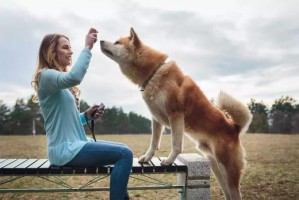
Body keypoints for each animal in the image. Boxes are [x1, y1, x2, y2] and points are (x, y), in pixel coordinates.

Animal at [101, 28, 253, 200]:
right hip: (217, 169)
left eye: (117, 42)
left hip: (228, 170)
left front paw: (168, 160)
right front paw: (147, 158)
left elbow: (176, 144)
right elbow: (153, 143)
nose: (100, 40)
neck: (153, 73)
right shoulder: (156, 119)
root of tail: (234, 127)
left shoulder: (176, 115)